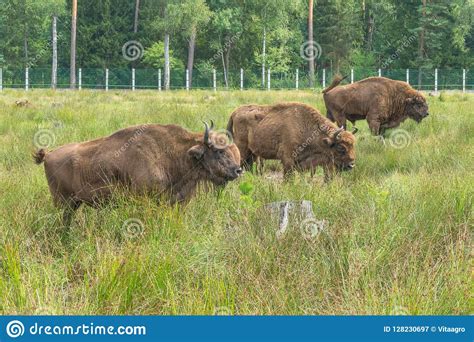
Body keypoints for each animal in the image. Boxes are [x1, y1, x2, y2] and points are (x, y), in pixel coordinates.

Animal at [227, 101, 356, 180]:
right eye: (341, 148)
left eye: (353, 147)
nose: (351, 165)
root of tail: (235, 112)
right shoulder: (288, 159)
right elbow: (288, 178)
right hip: (242, 148)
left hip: (252, 152)